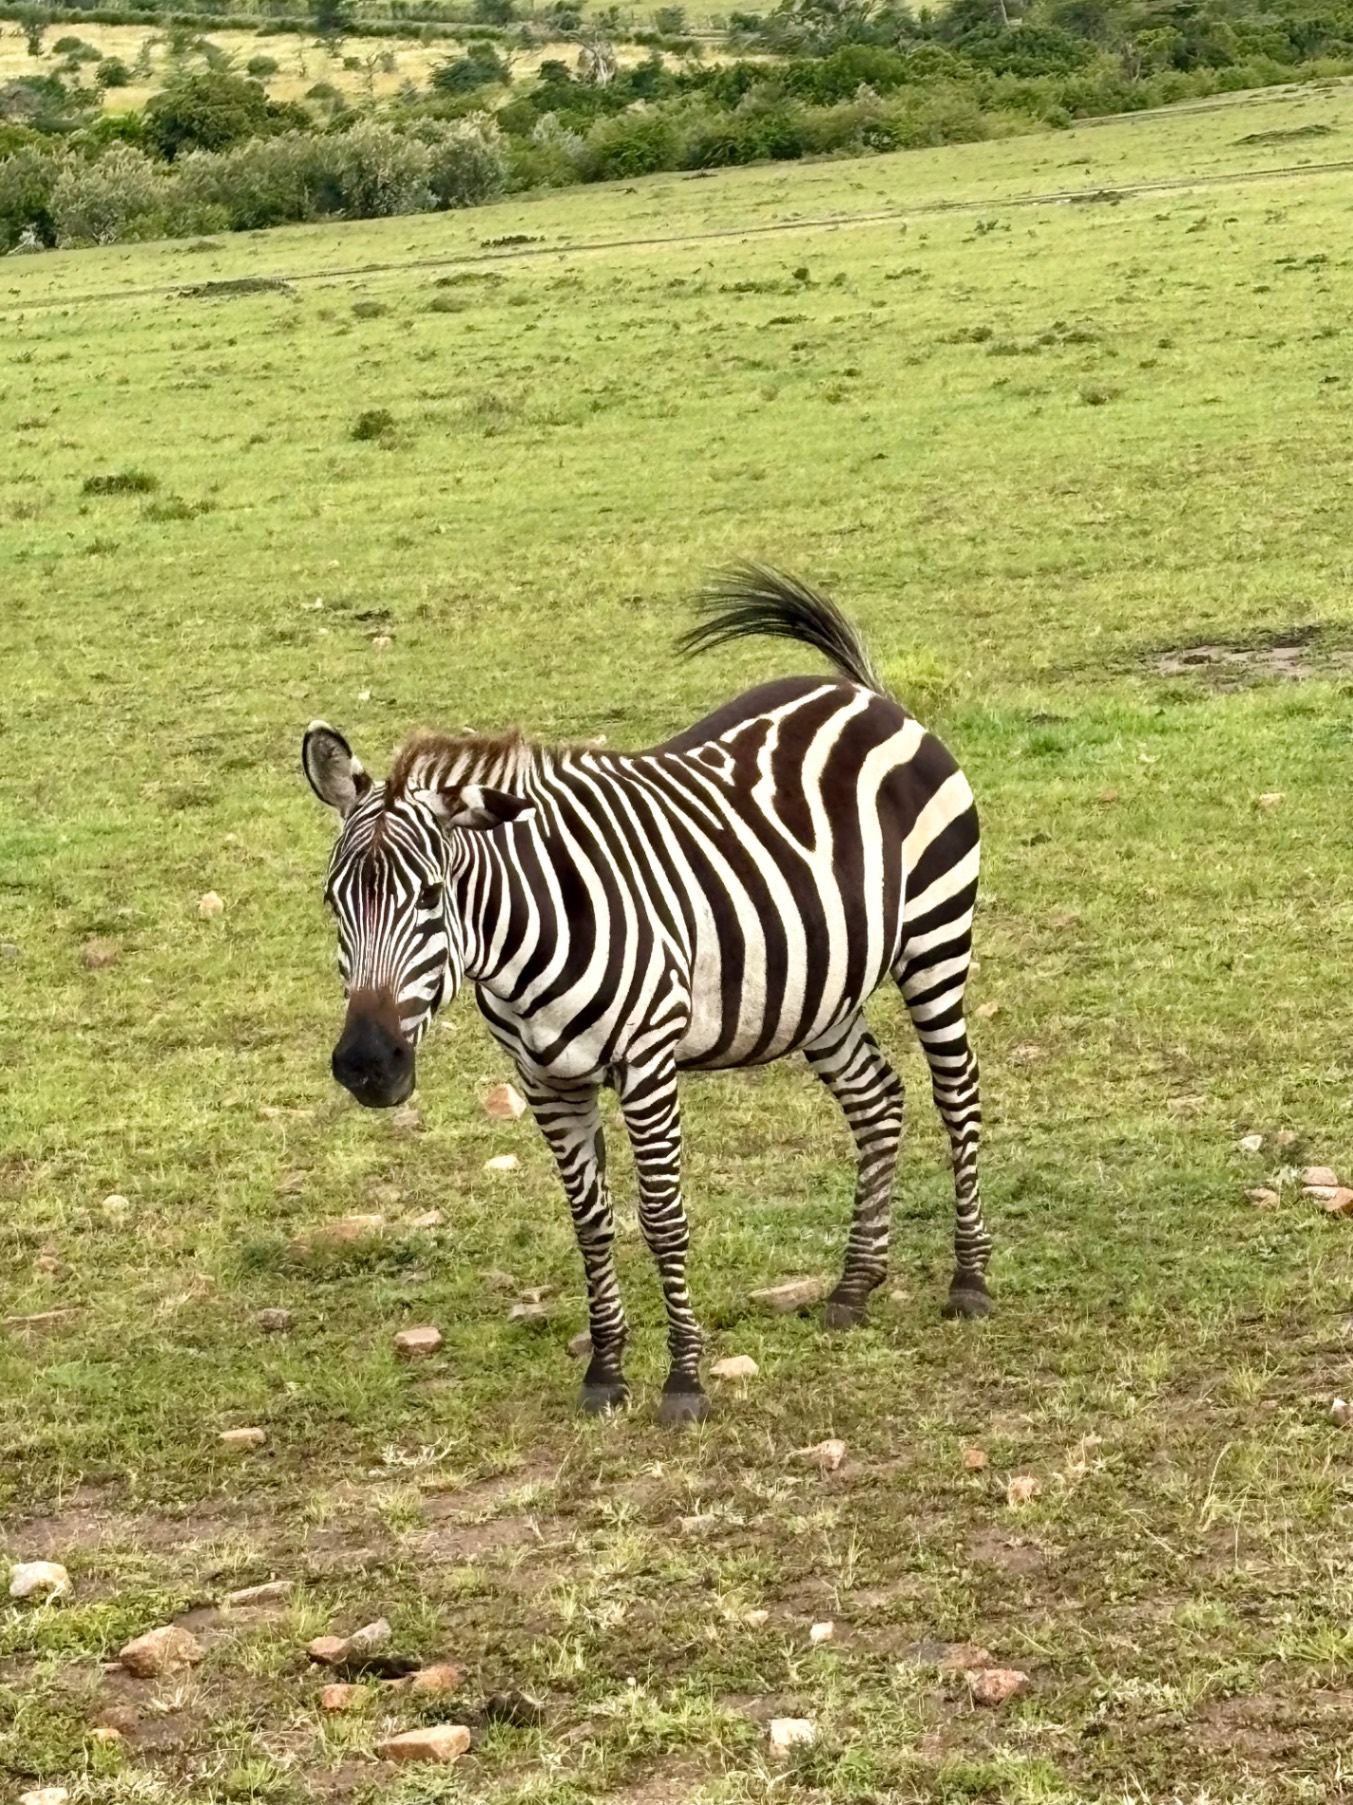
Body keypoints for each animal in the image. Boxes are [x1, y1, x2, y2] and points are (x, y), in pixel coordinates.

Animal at [302, 566, 991, 1423]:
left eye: (431, 896)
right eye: (333, 902)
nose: (367, 1063)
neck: (523, 943)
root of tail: (862, 693)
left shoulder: (646, 1063)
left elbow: (662, 1218)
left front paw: (684, 1379)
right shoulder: (545, 1081)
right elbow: (590, 1224)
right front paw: (604, 1370)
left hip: (935, 935)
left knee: (955, 1091)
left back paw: (969, 1278)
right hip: (821, 990)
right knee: (877, 1099)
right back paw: (854, 1286)